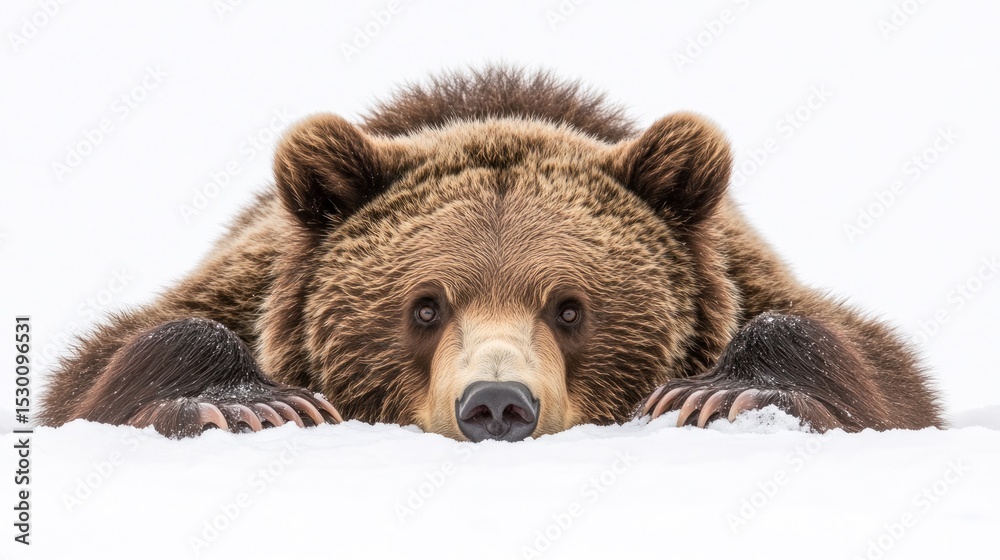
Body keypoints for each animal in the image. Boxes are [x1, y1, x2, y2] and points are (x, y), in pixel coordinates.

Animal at [39, 66, 942, 441]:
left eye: (571, 307)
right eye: (424, 305)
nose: (498, 403)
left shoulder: (747, 276)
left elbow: (871, 364)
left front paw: (723, 395)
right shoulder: (245, 278)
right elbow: (111, 360)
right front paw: (247, 404)